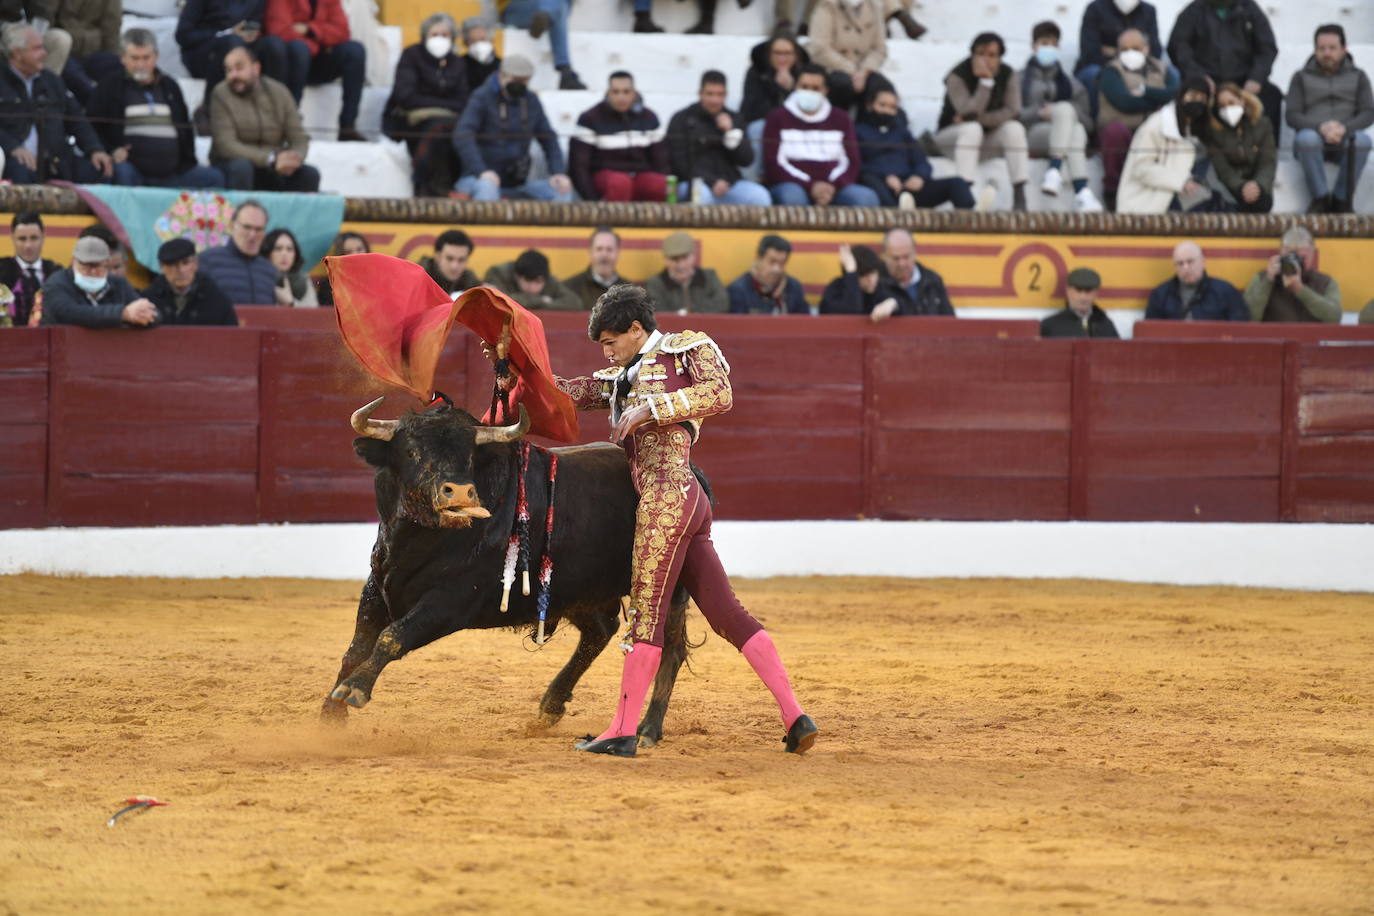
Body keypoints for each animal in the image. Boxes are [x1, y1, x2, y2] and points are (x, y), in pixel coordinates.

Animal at [317, 398, 692, 747]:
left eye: (468, 455)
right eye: (411, 451)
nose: (460, 491)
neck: (419, 539)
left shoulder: (450, 601)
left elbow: (393, 635)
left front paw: (354, 690)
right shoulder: (377, 587)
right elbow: (356, 649)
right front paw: (331, 714)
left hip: (668, 588)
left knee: (669, 651)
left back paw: (647, 730)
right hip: (574, 590)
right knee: (601, 630)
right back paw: (551, 706)